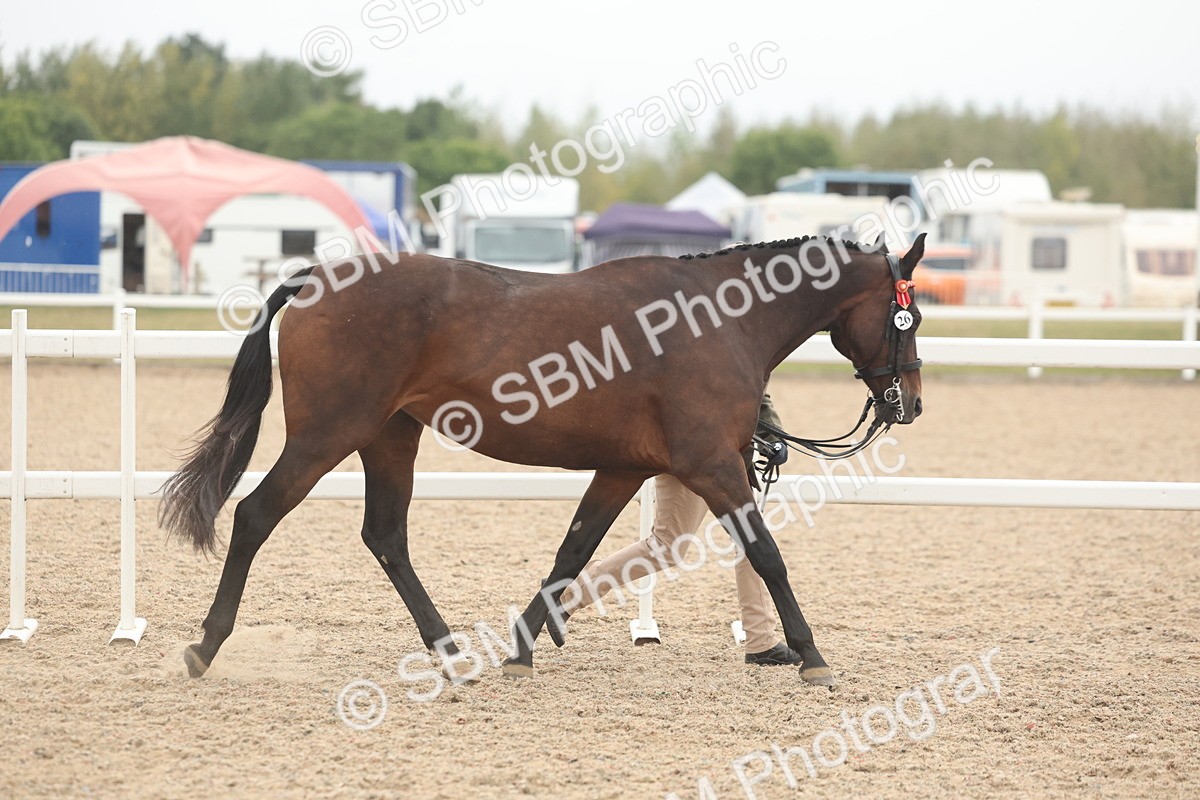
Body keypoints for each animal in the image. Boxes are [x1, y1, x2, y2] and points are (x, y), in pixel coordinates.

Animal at [159, 232, 925, 687]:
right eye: (906, 316)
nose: (909, 403)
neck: (720, 319)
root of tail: (318, 277)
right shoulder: (714, 466)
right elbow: (767, 554)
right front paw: (812, 656)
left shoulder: (623, 469)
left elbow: (573, 552)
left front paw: (525, 643)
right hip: (328, 434)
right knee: (255, 516)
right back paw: (205, 646)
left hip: (389, 436)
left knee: (385, 536)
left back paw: (450, 652)